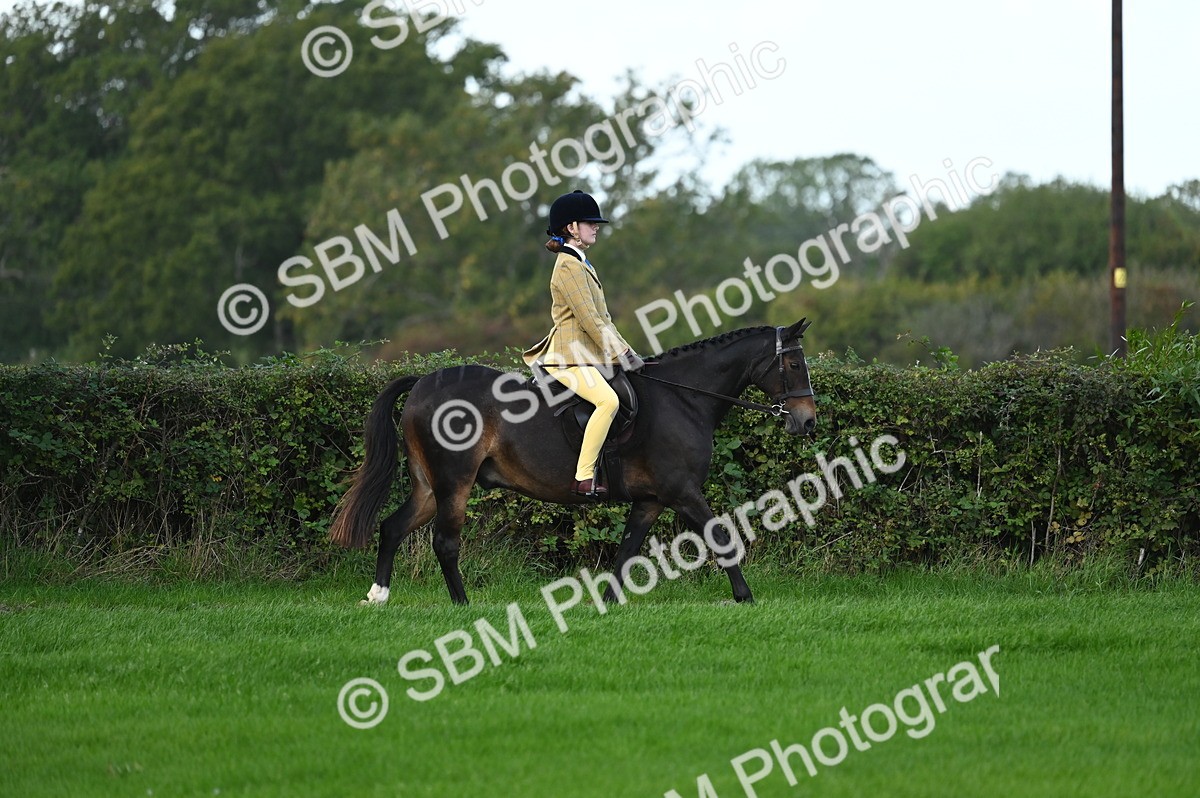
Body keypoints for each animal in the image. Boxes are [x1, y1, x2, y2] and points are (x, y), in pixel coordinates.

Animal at [328, 319, 816, 605]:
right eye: (793, 363)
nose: (807, 421)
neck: (683, 398)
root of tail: (423, 383)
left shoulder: (652, 499)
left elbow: (626, 549)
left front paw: (609, 601)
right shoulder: (682, 491)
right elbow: (721, 536)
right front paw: (745, 597)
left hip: (429, 486)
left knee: (393, 526)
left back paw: (378, 595)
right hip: (454, 484)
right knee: (445, 543)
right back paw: (463, 605)